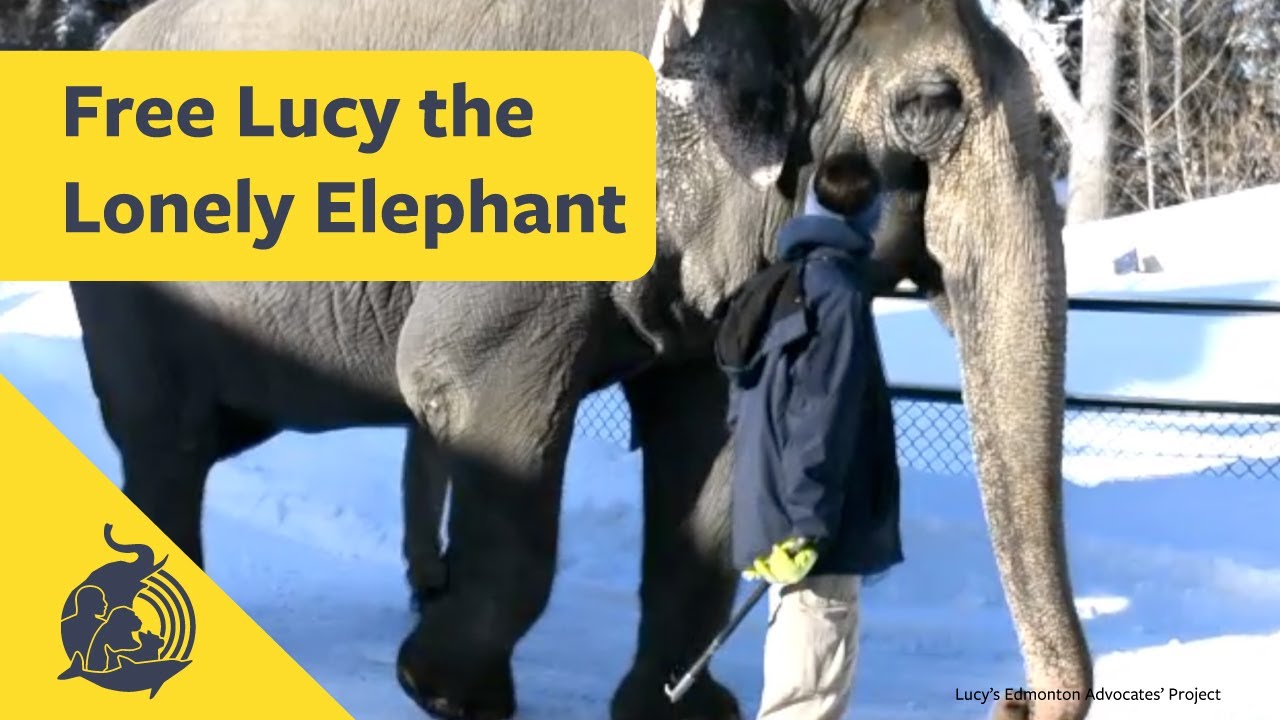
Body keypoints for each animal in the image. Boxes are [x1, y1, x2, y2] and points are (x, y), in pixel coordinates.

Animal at [66, 0, 1094, 719]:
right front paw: (442, 691)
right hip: (123, 289)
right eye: (928, 106)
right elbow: (465, 392)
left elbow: (707, 443)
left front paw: (680, 714)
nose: (1009, 701)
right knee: (166, 447)